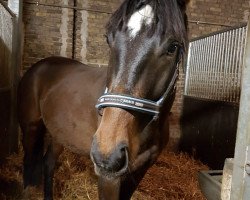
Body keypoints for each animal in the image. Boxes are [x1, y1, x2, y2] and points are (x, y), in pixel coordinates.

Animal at [18, 0, 188, 199]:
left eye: (173, 47)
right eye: (109, 39)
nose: (108, 154)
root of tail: (37, 67)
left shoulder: (139, 170)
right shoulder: (109, 179)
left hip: (58, 134)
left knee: (48, 163)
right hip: (30, 128)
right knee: (28, 162)